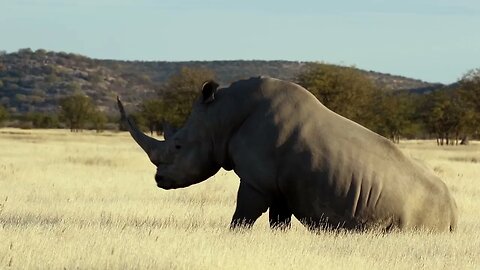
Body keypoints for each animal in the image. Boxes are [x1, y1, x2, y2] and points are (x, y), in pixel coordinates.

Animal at [117, 76, 458, 232]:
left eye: (178, 146)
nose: (159, 179)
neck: (221, 116)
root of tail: (455, 212)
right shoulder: (280, 187)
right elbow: (278, 221)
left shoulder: (256, 181)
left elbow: (242, 216)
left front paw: (231, 237)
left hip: (422, 210)